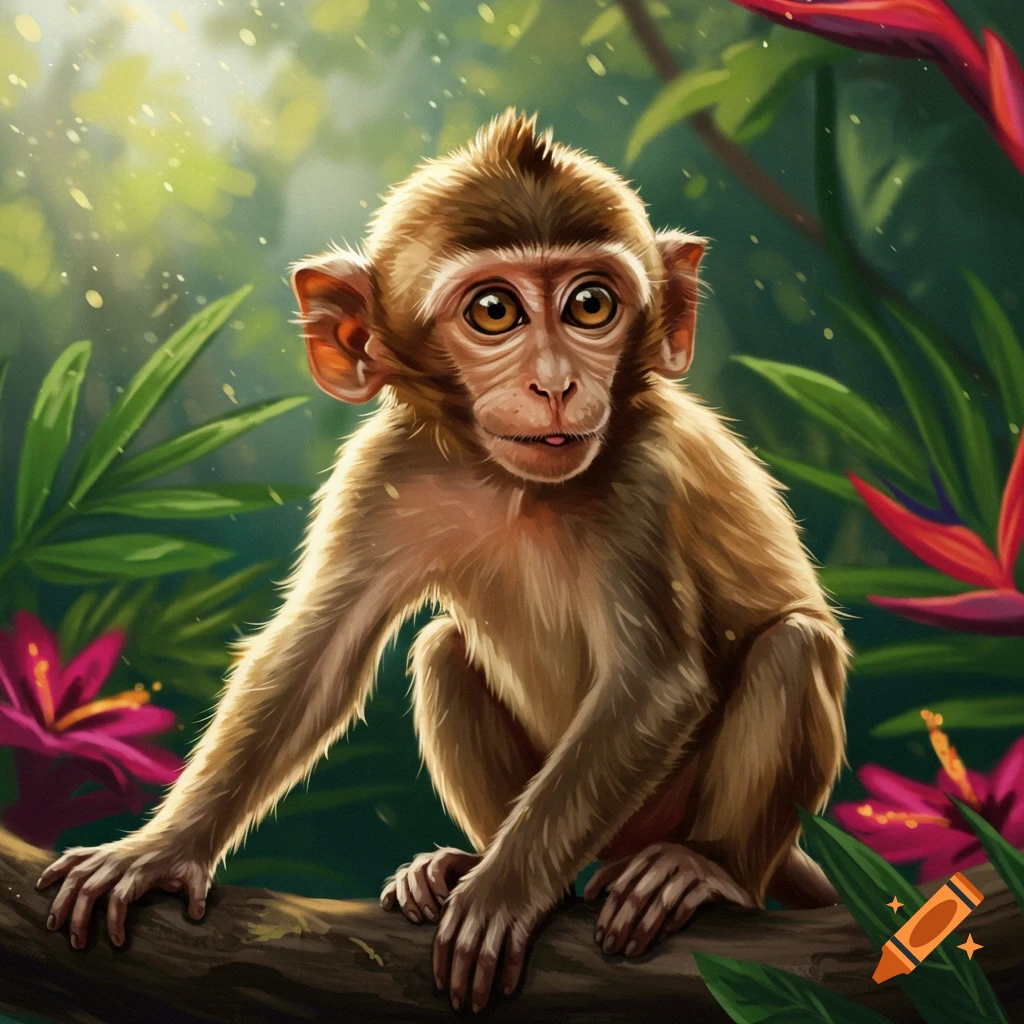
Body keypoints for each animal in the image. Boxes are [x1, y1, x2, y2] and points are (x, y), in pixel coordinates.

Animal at [38, 109, 848, 1015]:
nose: (556, 384)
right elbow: (314, 659)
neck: (513, 487)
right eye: (494, 311)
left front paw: (503, 893)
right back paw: (466, 860)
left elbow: (656, 685)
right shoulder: (382, 472)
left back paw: (702, 870)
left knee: (792, 650)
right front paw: (161, 849)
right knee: (441, 652)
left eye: (591, 304)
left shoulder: (646, 480)